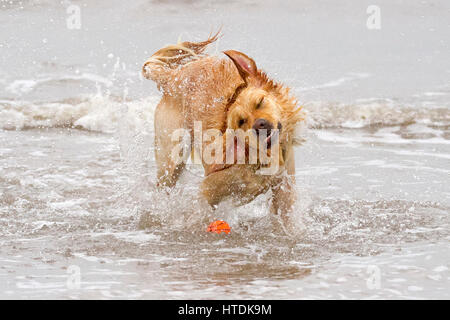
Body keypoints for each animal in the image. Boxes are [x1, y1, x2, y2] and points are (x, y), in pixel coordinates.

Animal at [143, 32, 306, 218]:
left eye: (260, 102)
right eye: (241, 121)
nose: (260, 125)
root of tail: (171, 77)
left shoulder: (284, 188)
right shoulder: (208, 190)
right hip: (171, 158)